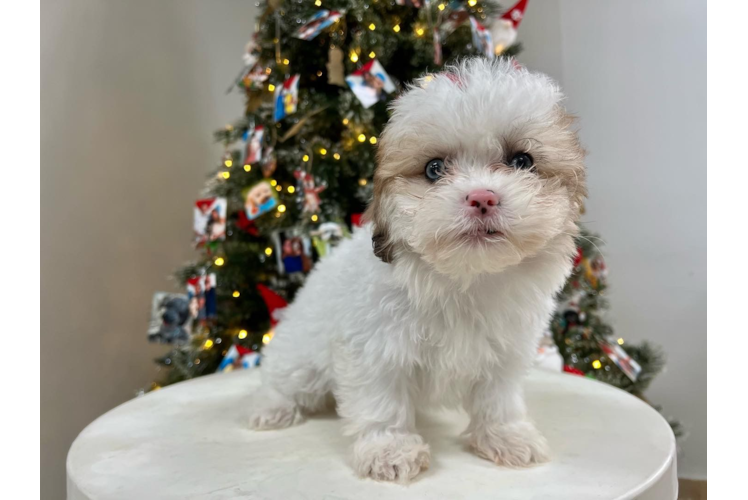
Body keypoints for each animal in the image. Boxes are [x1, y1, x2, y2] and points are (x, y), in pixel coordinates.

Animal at [248, 56, 588, 482]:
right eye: (434, 169)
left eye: (522, 161)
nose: (482, 198)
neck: (465, 279)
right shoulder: (374, 349)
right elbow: (381, 402)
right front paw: (390, 448)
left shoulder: (505, 351)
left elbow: (498, 396)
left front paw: (505, 435)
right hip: (301, 360)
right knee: (282, 379)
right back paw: (271, 407)